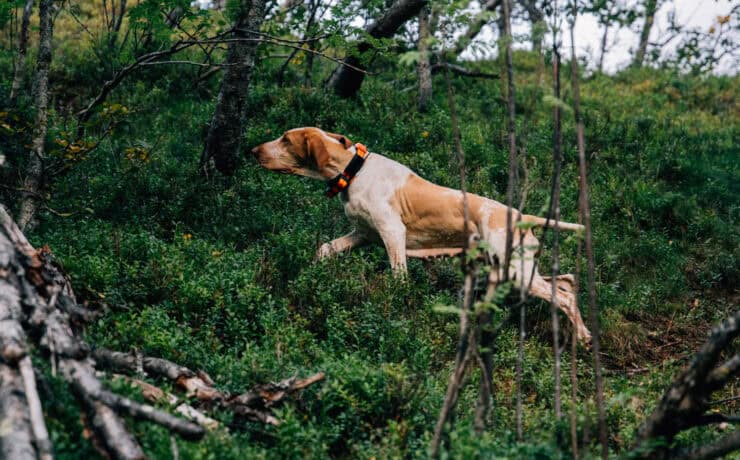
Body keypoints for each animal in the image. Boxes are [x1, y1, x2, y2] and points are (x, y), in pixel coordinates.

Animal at [251, 126, 592, 342]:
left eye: (285, 139)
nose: (253, 150)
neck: (354, 171)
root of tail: (523, 216)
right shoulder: (363, 234)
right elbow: (325, 248)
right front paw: (311, 274)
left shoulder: (392, 233)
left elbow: (399, 278)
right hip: (512, 269)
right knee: (566, 282)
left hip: (515, 271)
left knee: (563, 297)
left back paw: (583, 337)